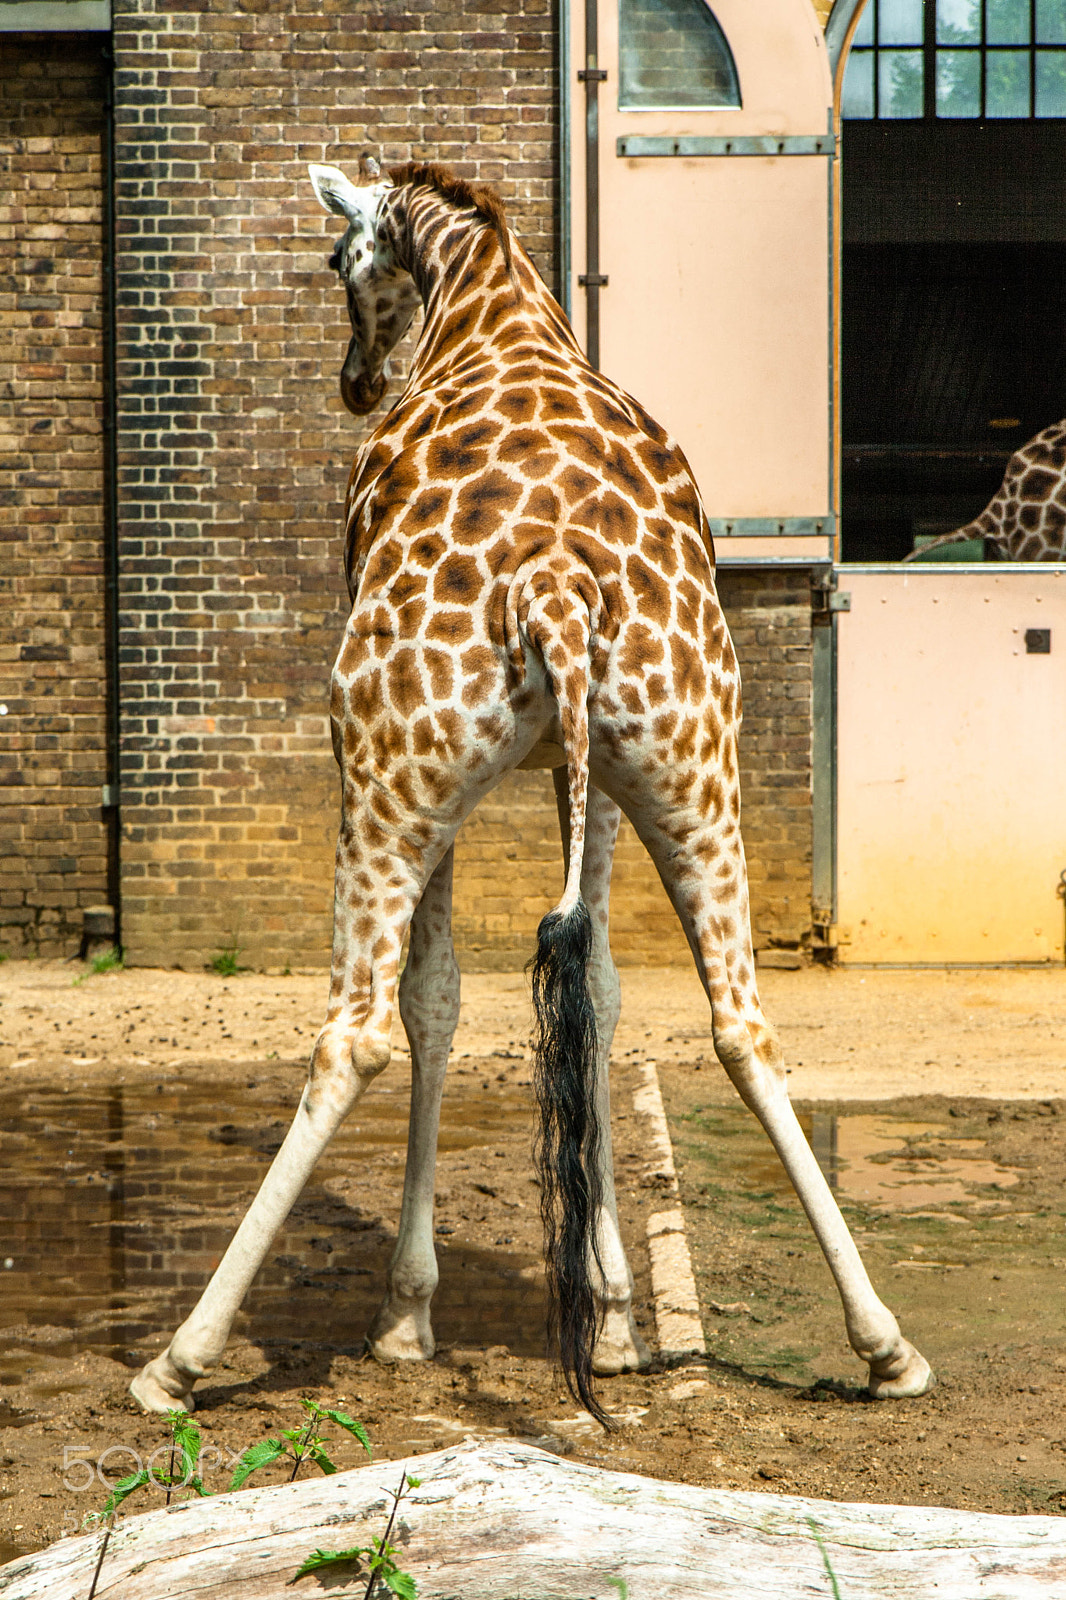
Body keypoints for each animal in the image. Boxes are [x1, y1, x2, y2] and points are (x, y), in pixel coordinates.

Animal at [129, 156, 932, 1421]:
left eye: (338, 260)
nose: (354, 382)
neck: (491, 308)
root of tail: (554, 579)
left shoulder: (444, 787)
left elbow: (438, 999)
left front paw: (410, 1315)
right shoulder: (585, 770)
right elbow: (594, 990)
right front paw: (613, 1318)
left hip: (387, 767)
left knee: (353, 1031)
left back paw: (180, 1357)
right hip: (693, 765)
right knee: (742, 1022)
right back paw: (884, 1345)